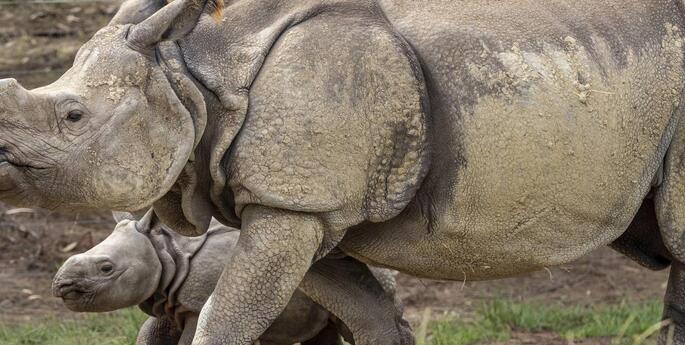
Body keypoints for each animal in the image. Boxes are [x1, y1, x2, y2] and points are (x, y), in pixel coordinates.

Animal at [53, 211, 406, 342]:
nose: (60, 285)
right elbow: (148, 335)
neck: (166, 252)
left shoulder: (196, 304)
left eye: (106, 268)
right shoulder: (169, 300)